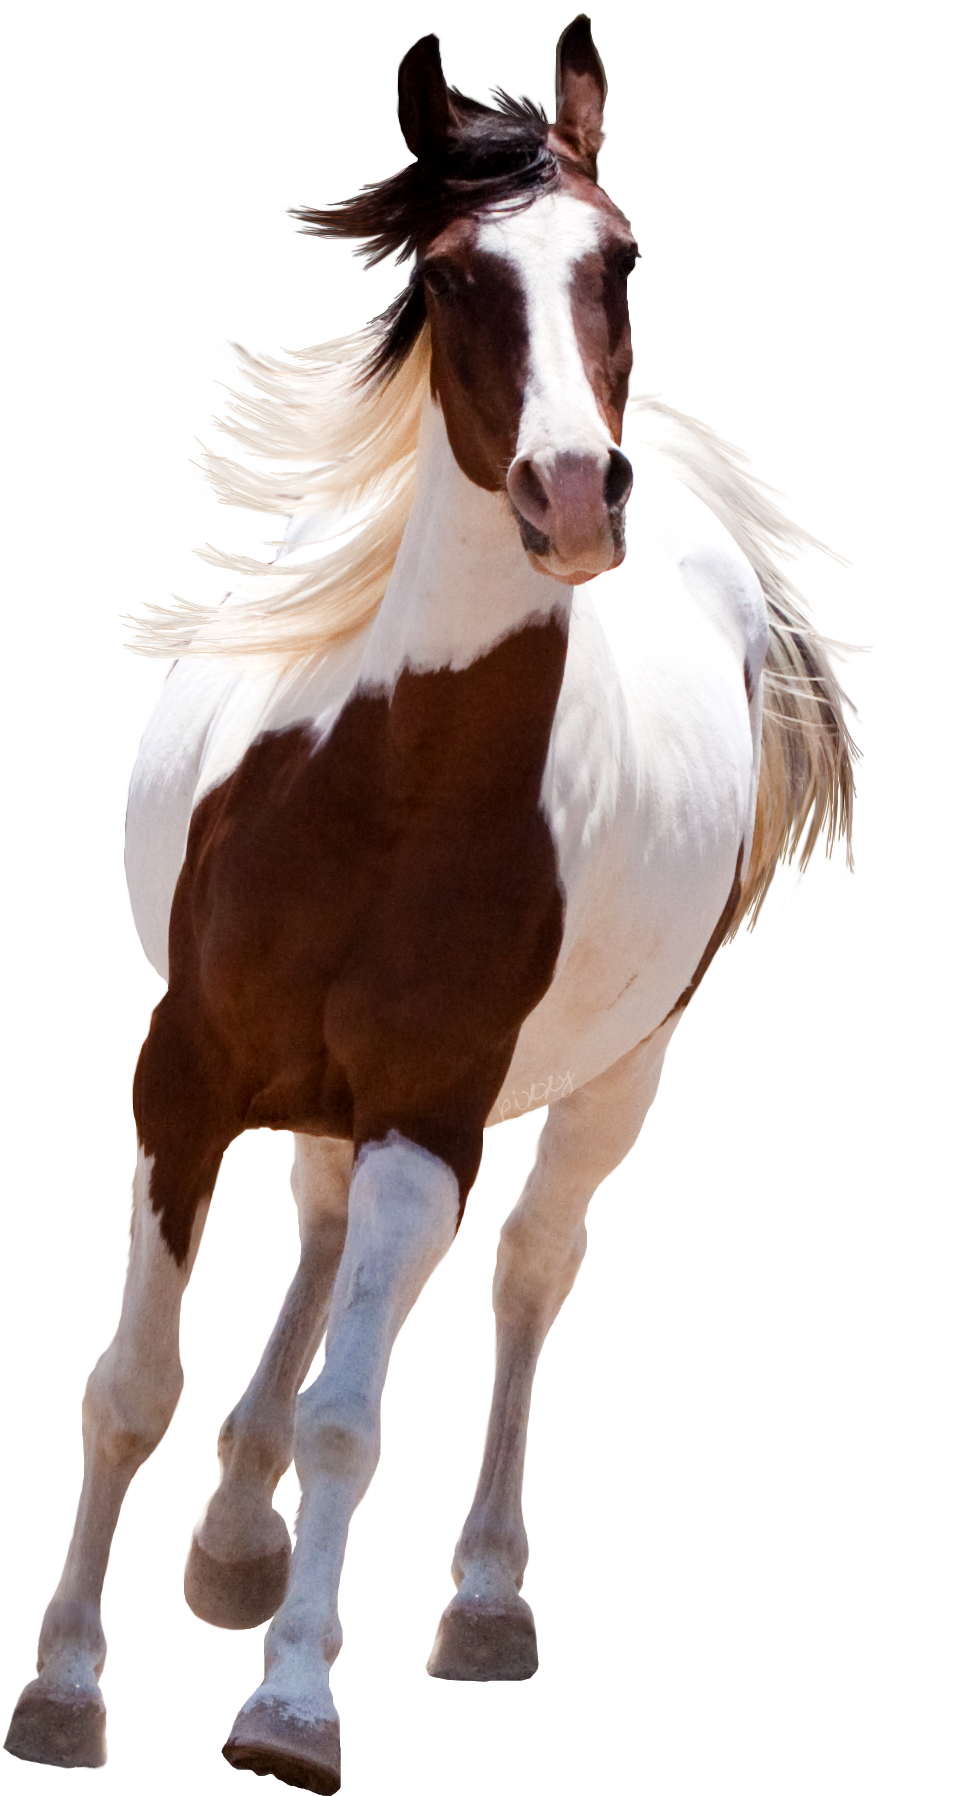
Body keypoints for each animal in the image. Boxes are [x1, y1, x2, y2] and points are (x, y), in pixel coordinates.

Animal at [4, 19, 867, 1793]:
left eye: (621, 260)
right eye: (460, 276)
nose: (573, 496)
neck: (389, 792)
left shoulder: (432, 1114)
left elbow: (360, 1415)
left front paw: (289, 1705)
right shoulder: (180, 1075)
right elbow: (128, 1384)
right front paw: (61, 1690)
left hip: (614, 1077)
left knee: (528, 1272)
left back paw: (473, 1599)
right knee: (321, 1234)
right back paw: (232, 1533)